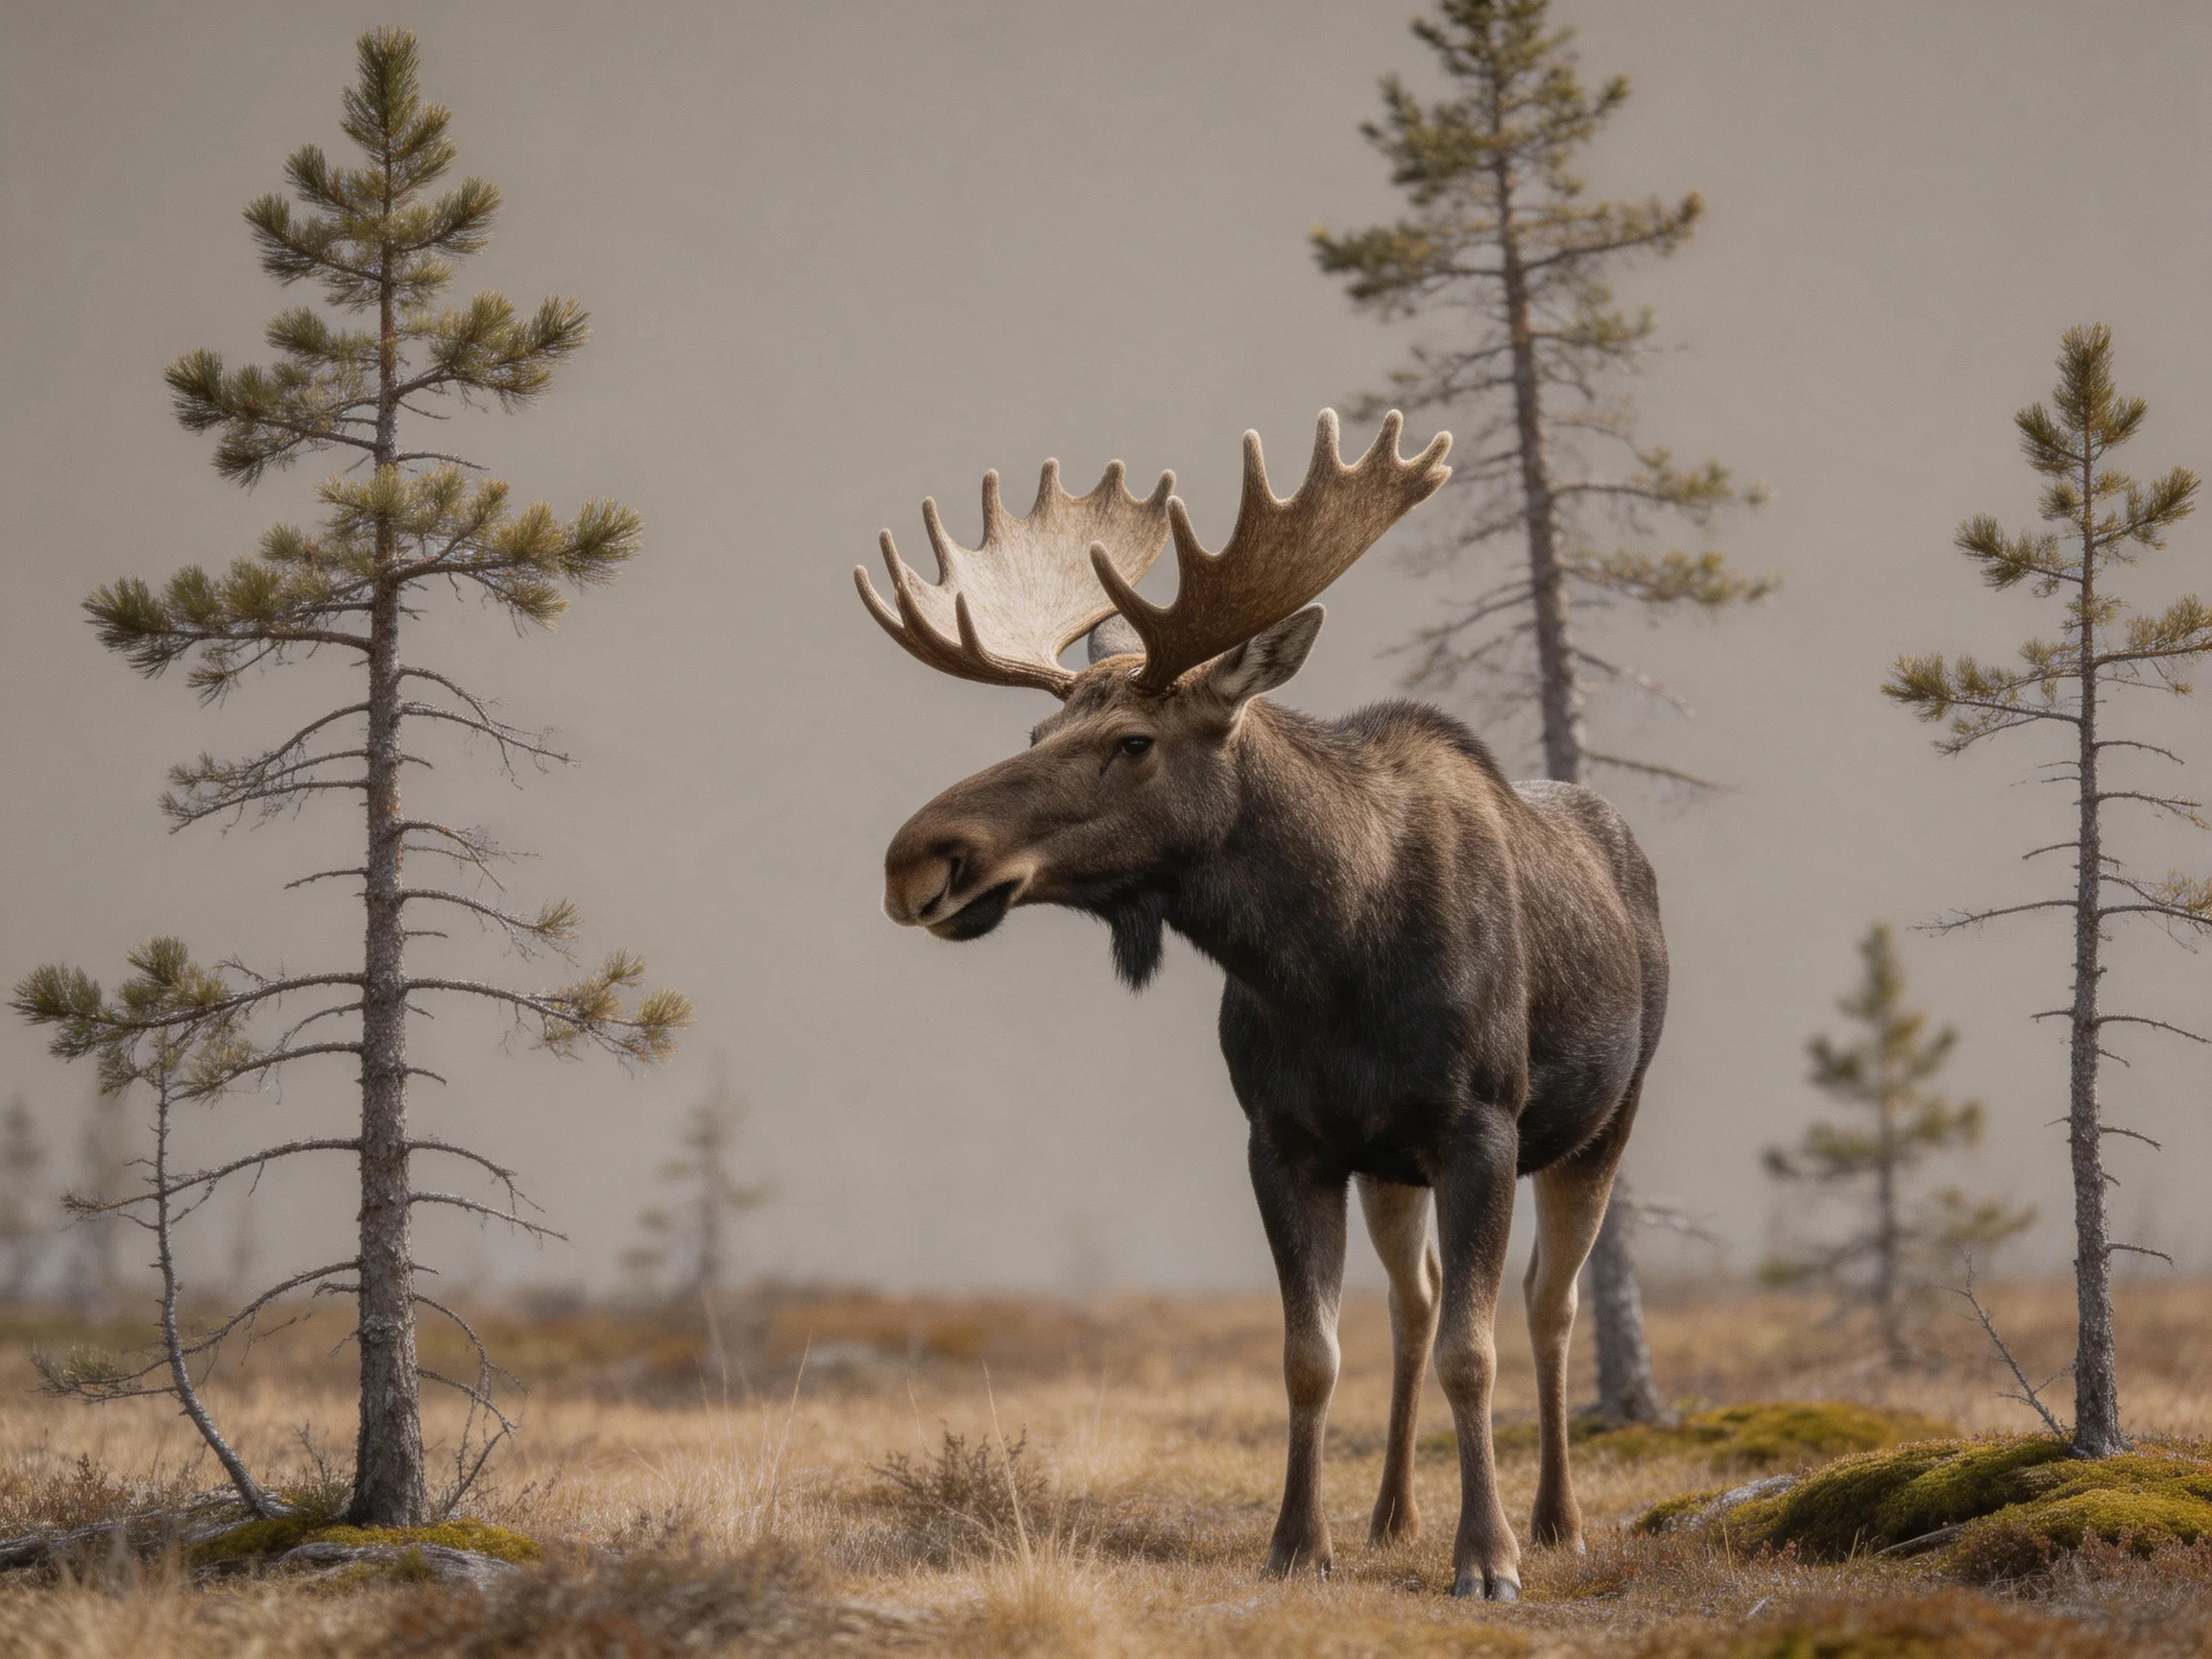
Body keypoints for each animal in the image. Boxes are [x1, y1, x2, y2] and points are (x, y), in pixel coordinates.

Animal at [855, 410, 1668, 1600]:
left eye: (1133, 742)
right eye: (1036, 741)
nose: (918, 858)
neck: (1329, 963)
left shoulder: (1480, 1125)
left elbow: (1478, 1354)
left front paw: (1487, 1559)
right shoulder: (1289, 1137)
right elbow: (1309, 1355)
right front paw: (1299, 1542)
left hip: (1604, 1121)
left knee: (1547, 1305)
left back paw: (1557, 1520)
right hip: (1391, 1166)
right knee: (1415, 1303)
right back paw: (1391, 1513)